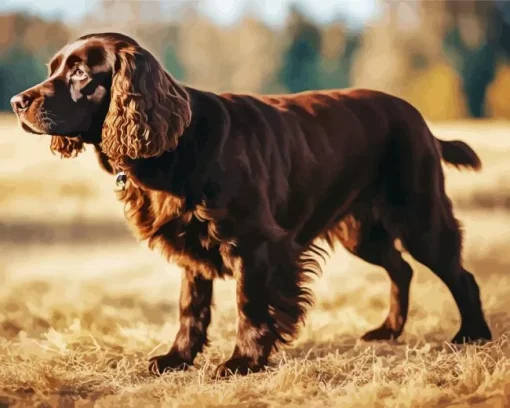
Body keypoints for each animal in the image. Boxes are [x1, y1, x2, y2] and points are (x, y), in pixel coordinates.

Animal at [10, 31, 490, 376]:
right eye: (54, 68)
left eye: (80, 74)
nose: (16, 101)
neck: (175, 146)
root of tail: (422, 122)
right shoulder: (192, 252)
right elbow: (191, 309)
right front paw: (176, 358)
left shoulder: (255, 242)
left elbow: (250, 304)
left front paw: (243, 361)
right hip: (363, 232)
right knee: (401, 269)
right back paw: (389, 330)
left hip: (421, 217)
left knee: (461, 275)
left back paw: (473, 335)